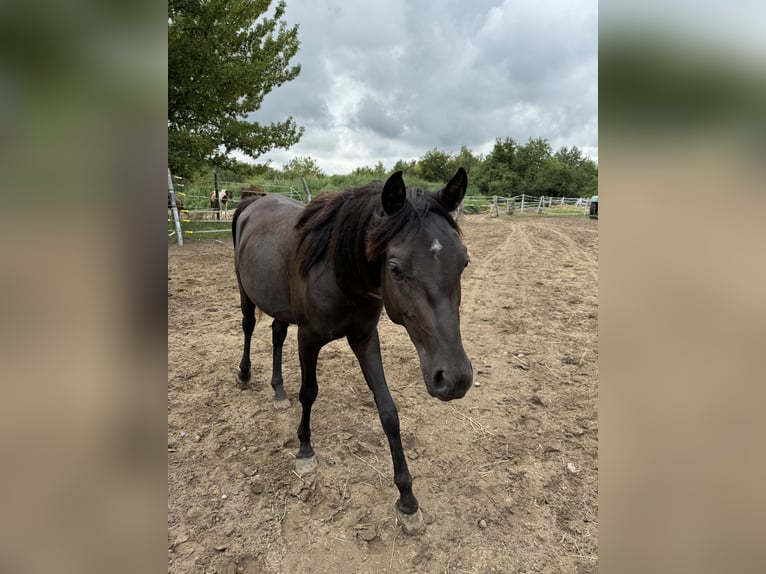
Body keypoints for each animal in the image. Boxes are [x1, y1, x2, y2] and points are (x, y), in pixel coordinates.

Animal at [232, 170, 474, 536]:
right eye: (395, 267)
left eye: (463, 262)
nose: (455, 378)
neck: (336, 270)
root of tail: (252, 203)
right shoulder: (309, 337)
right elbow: (309, 393)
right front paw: (305, 451)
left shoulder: (364, 337)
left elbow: (388, 411)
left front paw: (408, 500)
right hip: (246, 292)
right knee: (248, 326)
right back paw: (245, 374)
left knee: (276, 334)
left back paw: (278, 390)